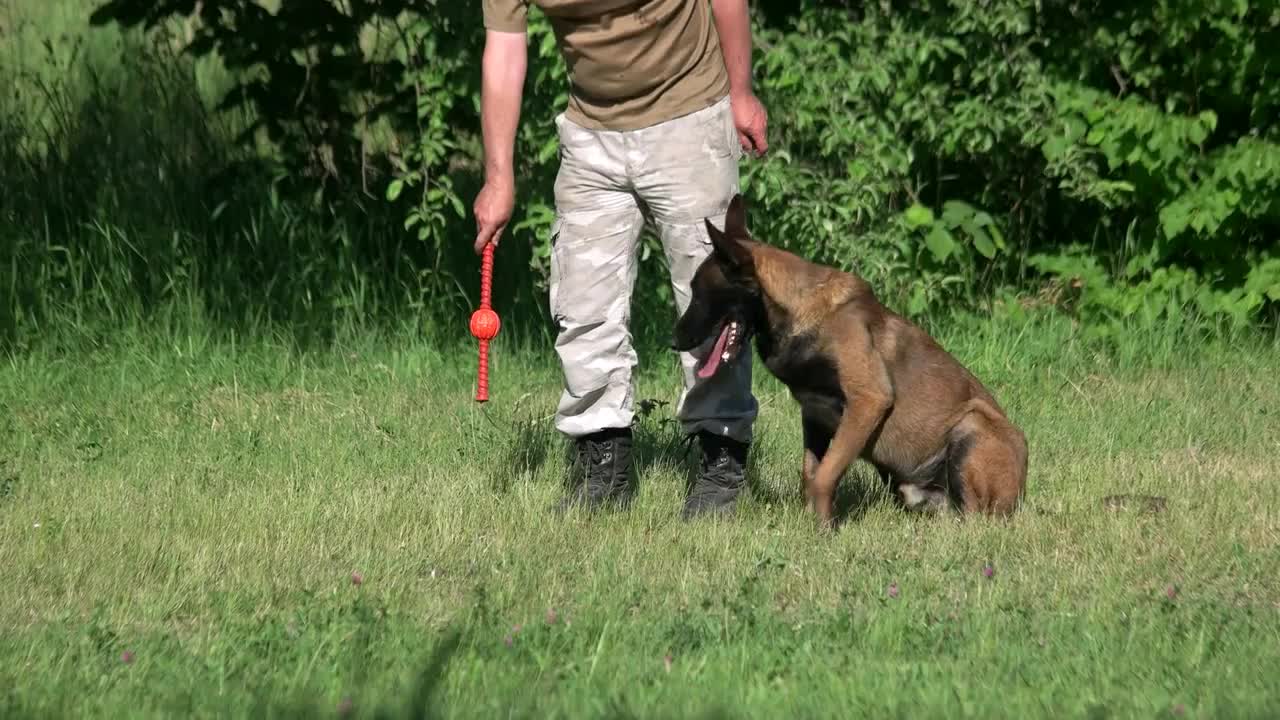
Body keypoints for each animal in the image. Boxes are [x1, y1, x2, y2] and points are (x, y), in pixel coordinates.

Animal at [675, 193, 1024, 525]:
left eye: (698, 292)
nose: (674, 340)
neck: (798, 311)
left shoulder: (868, 400)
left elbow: (824, 477)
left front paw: (821, 531)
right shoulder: (813, 414)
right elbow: (810, 473)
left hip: (971, 425)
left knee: (975, 516)